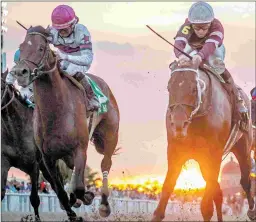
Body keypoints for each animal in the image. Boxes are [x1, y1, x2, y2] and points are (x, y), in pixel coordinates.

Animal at [12, 26, 120, 220]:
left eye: (41, 48)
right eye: (21, 47)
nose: (20, 73)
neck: (56, 112)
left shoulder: (80, 150)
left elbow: (78, 188)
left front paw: (85, 197)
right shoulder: (47, 158)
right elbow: (61, 191)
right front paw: (72, 209)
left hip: (110, 136)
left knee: (105, 164)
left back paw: (104, 205)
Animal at [152, 60, 256, 220]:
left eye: (194, 89)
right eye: (169, 88)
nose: (178, 124)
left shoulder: (213, 154)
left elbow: (207, 204)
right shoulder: (175, 151)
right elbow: (168, 186)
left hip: (243, 147)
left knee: (245, 181)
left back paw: (251, 211)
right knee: (218, 192)